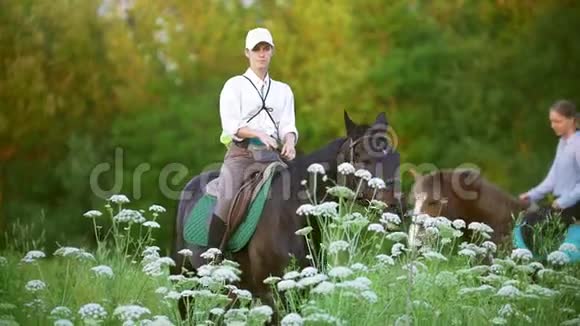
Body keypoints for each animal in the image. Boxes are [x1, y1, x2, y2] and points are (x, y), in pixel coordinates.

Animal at [170, 112, 402, 310]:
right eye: (363, 157)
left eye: (394, 156)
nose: (395, 206)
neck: (292, 216)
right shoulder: (273, 294)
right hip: (185, 284)